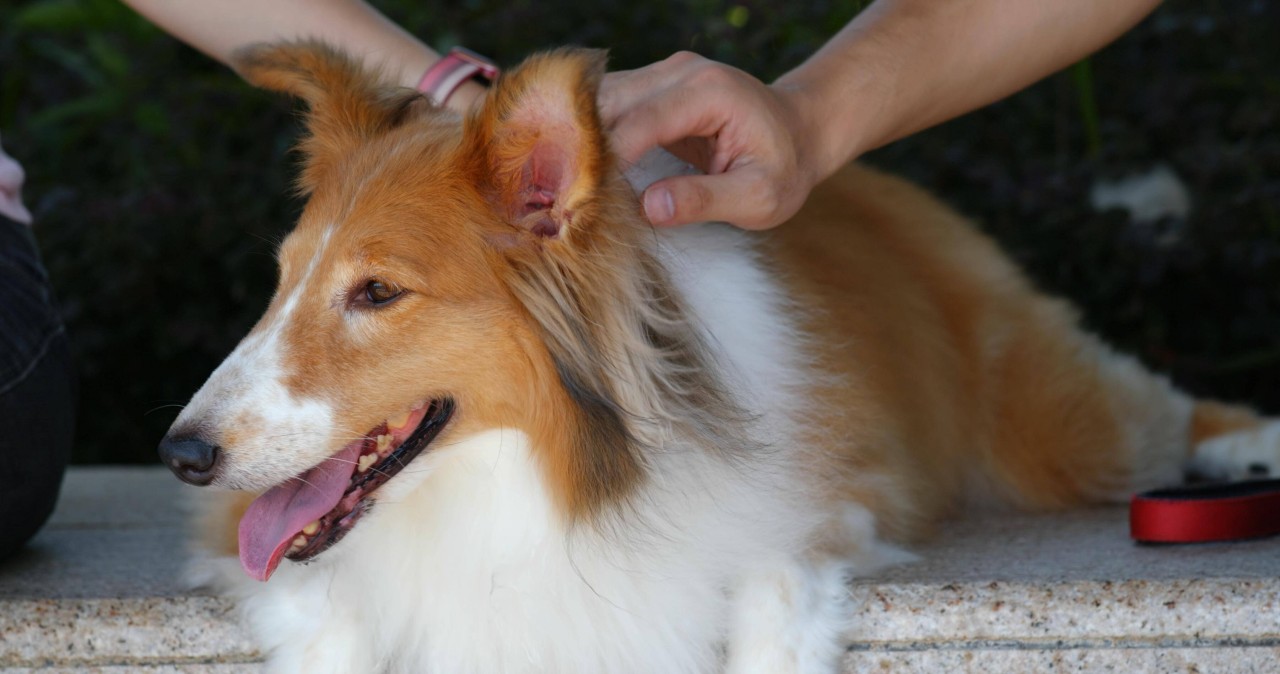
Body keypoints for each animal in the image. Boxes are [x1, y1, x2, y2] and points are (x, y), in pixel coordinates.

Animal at [154, 43, 1274, 674]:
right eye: (280, 278)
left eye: (378, 292)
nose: (180, 456)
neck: (527, 483)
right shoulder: (254, 549)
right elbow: (326, 622)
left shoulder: (819, 499)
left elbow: (769, 600)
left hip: (1046, 426)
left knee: (1153, 404)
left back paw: (1247, 442)